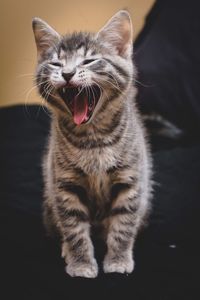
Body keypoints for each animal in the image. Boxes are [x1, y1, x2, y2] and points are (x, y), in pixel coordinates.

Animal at [32, 10, 152, 278]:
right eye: (56, 64)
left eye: (88, 61)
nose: (67, 74)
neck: (93, 139)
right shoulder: (64, 185)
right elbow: (74, 229)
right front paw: (81, 264)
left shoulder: (130, 180)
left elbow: (123, 225)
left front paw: (118, 260)